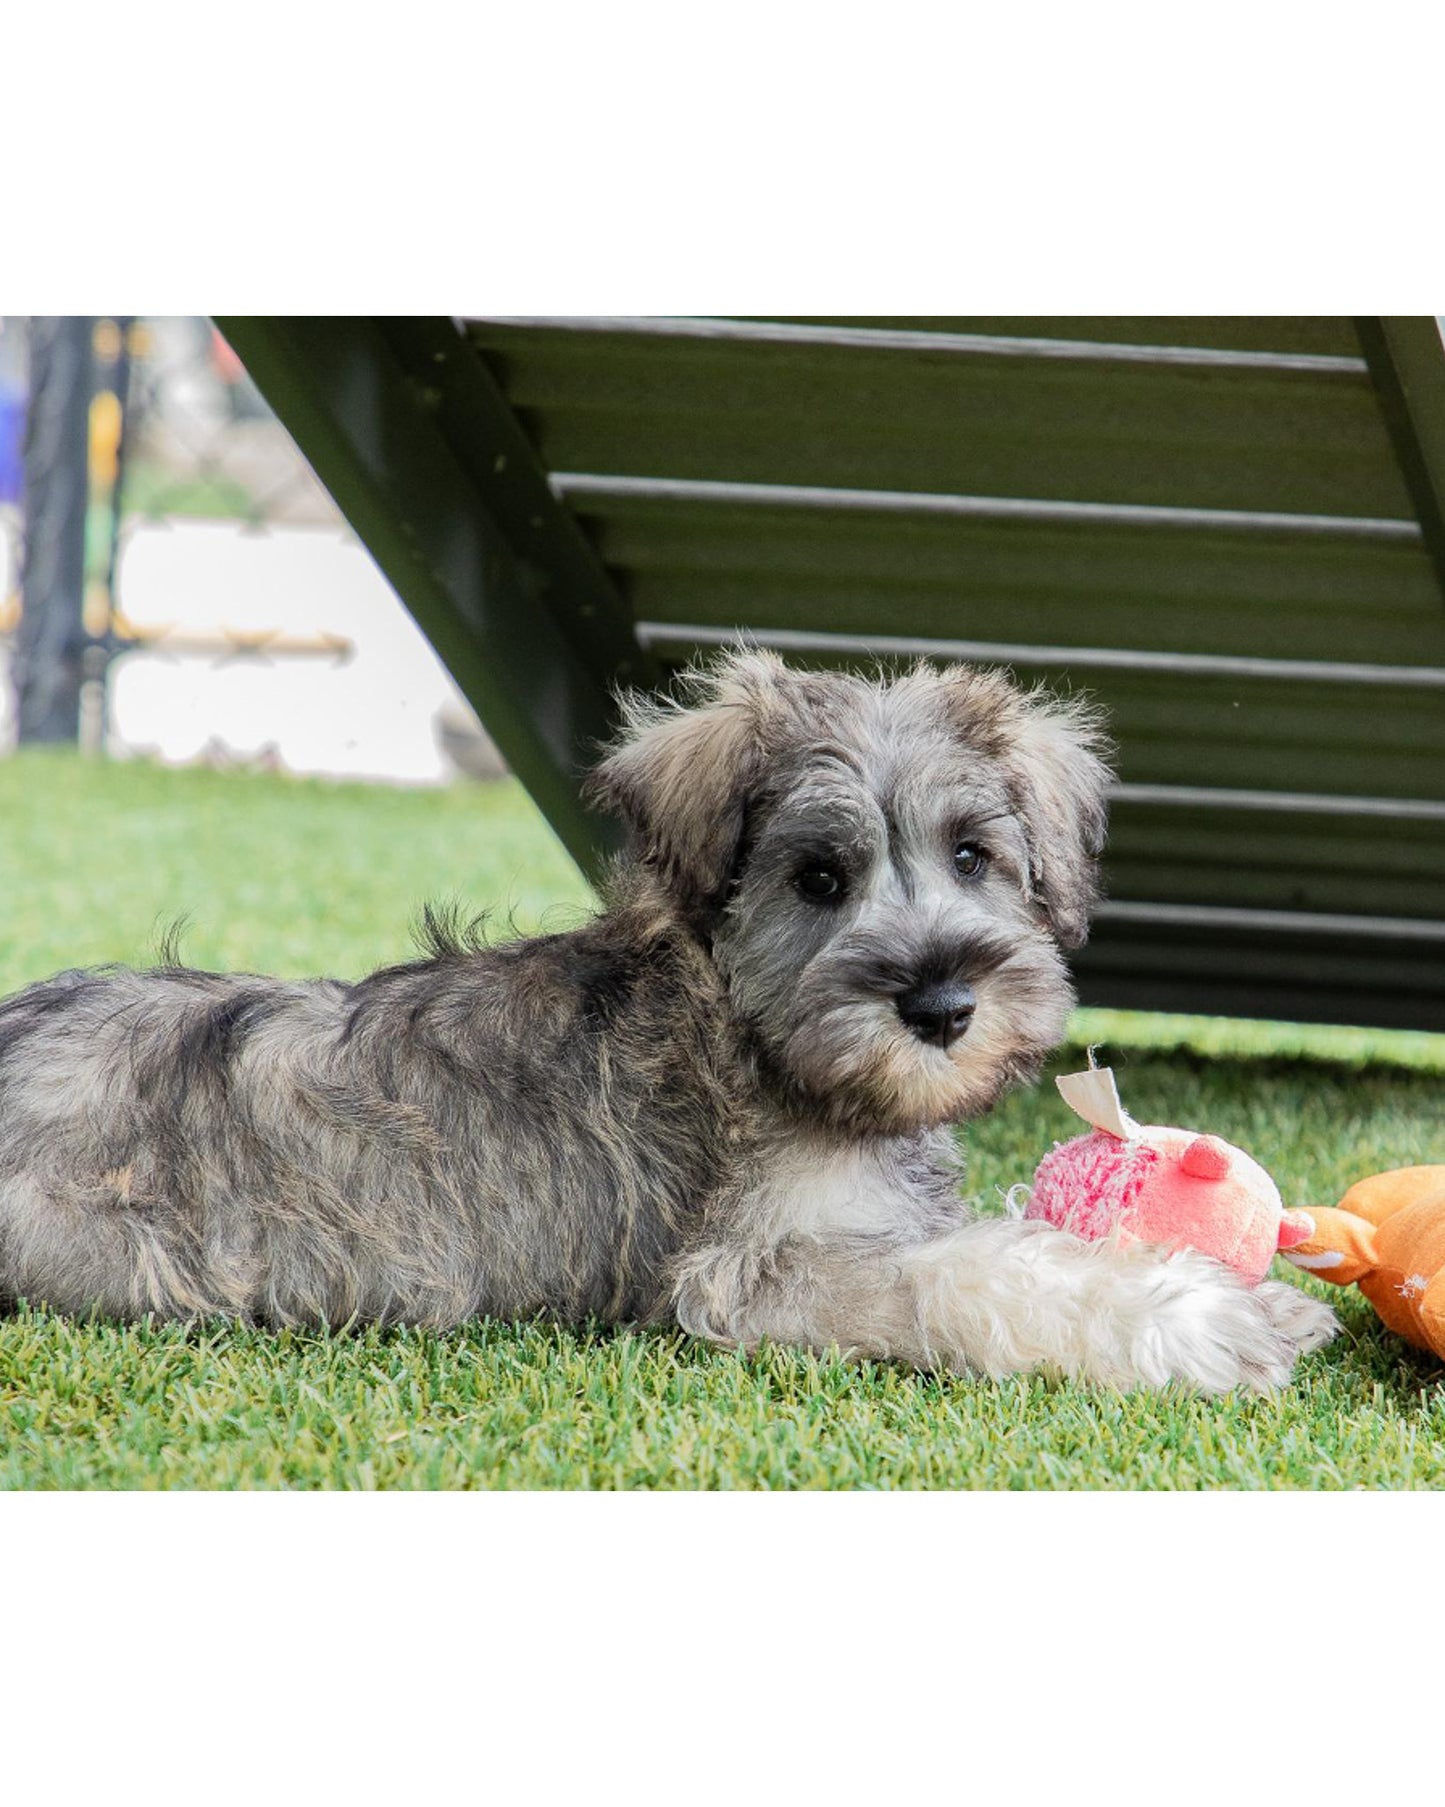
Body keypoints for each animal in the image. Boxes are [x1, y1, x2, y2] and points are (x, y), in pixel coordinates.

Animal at [0, 657, 1336, 1387]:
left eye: (972, 855)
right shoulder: (748, 1273)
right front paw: (1212, 1321)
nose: (941, 1004)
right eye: (815, 877)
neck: (748, 1033)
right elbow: (971, 1275)